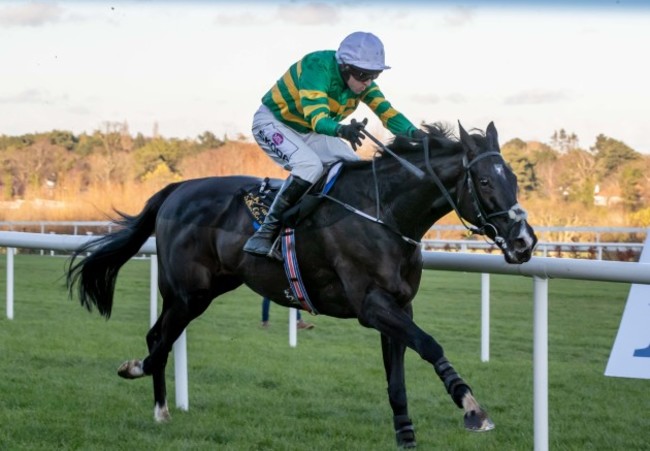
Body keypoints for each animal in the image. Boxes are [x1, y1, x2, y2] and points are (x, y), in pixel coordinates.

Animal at [66, 122, 536, 450]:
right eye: (486, 182)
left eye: (513, 178)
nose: (525, 241)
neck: (383, 213)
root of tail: (178, 188)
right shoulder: (371, 306)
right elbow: (431, 345)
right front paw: (472, 408)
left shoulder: (399, 306)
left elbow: (397, 379)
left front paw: (406, 435)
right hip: (187, 292)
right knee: (158, 341)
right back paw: (143, 380)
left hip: (206, 291)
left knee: (158, 336)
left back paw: (160, 407)